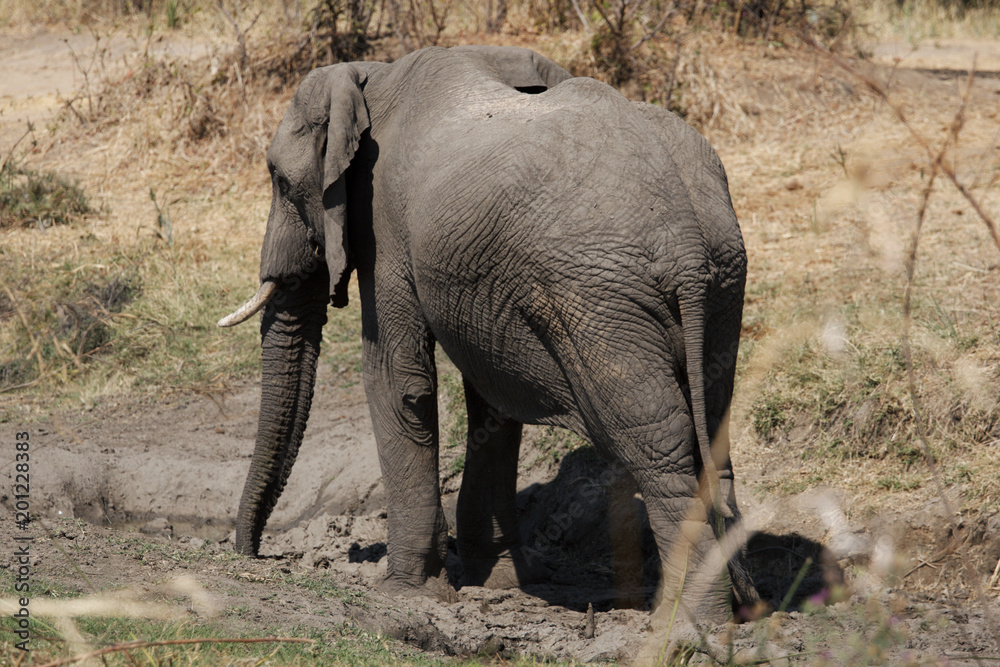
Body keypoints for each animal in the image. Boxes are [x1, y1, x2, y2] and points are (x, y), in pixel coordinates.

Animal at [218, 44, 759, 621]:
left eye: (279, 180)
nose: (252, 554)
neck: (371, 77)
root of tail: (686, 241)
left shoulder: (385, 222)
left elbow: (396, 380)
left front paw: (405, 593)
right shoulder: (487, 281)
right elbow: (491, 404)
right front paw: (499, 580)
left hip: (602, 302)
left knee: (658, 444)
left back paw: (687, 624)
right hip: (721, 282)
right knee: (709, 428)